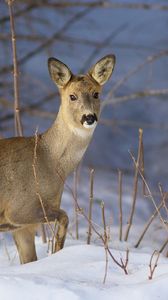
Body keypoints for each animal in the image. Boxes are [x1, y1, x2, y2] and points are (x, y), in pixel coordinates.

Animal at [0, 54, 115, 262]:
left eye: (96, 94)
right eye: (72, 96)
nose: (89, 117)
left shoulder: (22, 228)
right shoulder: (17, 209)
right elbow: (65, 216)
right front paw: (57, 249)